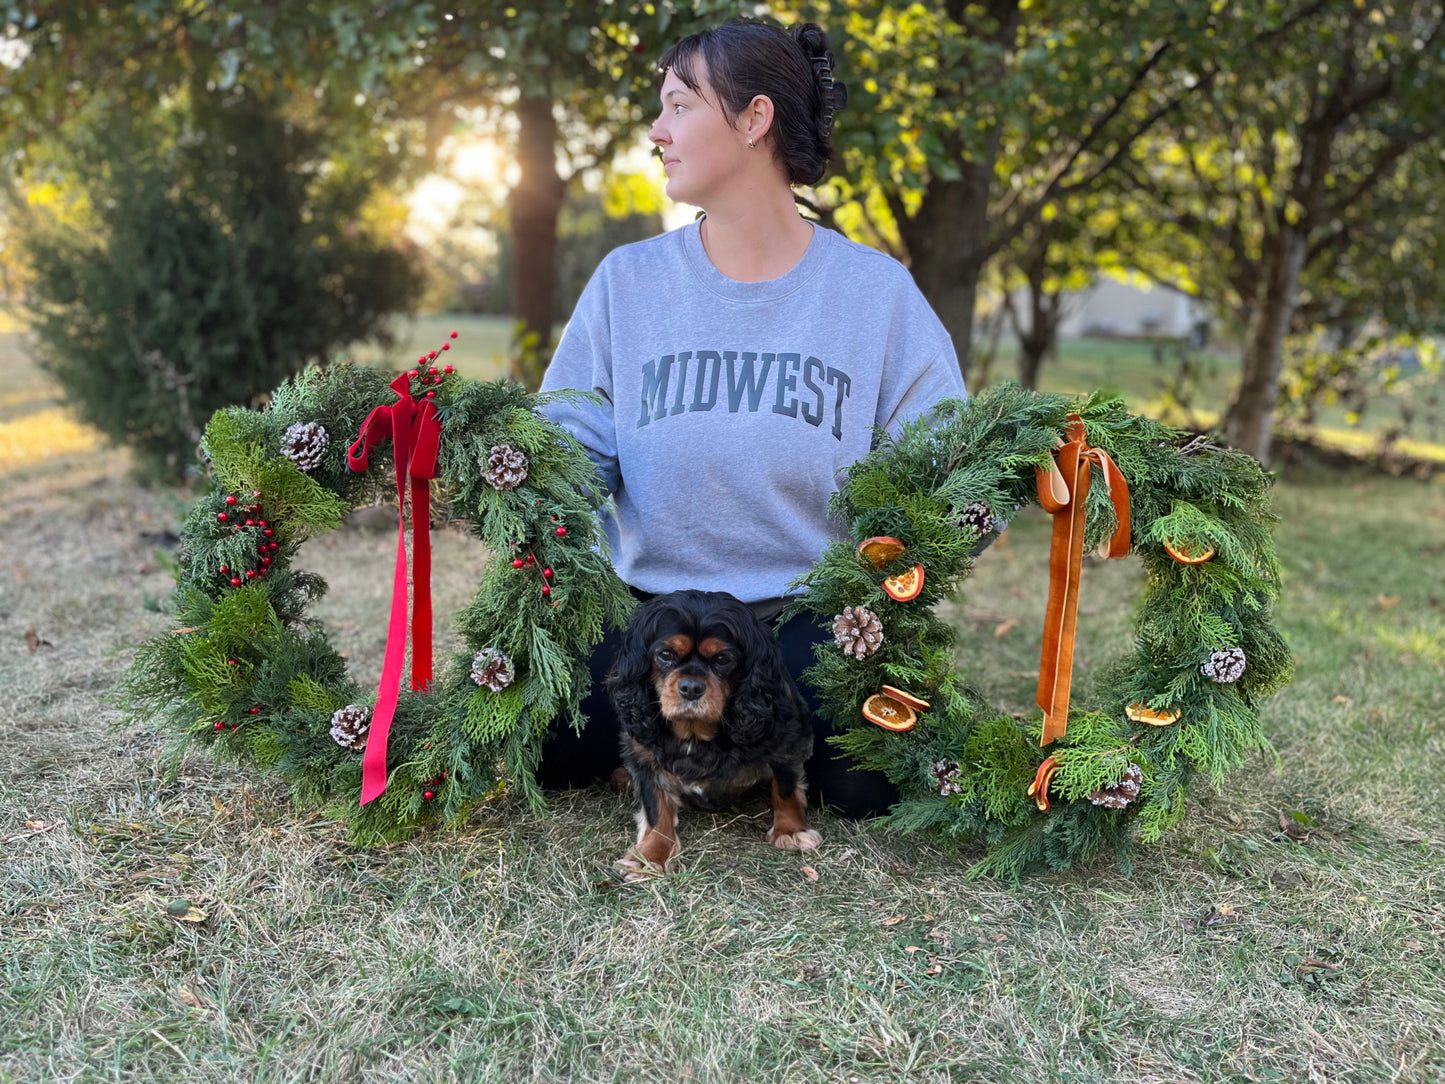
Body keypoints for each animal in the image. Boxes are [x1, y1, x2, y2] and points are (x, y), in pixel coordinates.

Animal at [604, 589, 820, 878]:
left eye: (722, 660)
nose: (691, 687)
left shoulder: (788, 740)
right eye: (666, 654)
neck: (694, 734)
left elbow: (785, 788)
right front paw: (650, 856)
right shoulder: (643, 755)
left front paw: (791, 830)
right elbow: (655, 808)